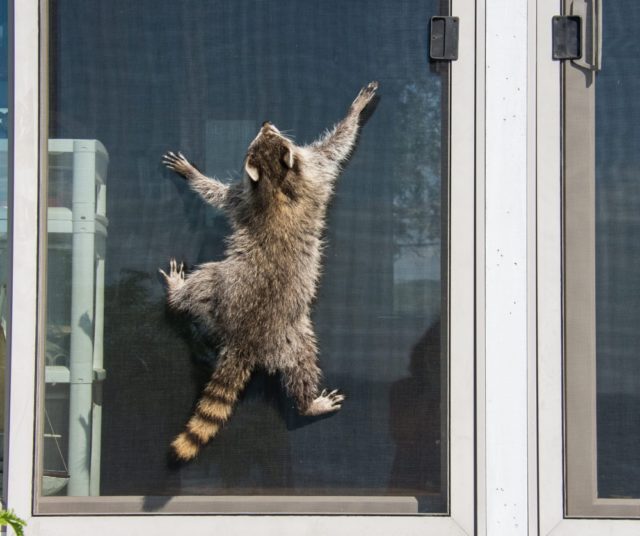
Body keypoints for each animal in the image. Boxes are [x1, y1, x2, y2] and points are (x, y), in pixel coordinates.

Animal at [161, 80, 380, 460]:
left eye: (270, 134)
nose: (265, 121)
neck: (277, 181)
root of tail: (244, 339)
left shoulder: (306, 173)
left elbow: (337, 145)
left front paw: (355, 111)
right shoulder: (290, 179)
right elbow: (336, 145)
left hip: (283, 329)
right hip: (272, 323)